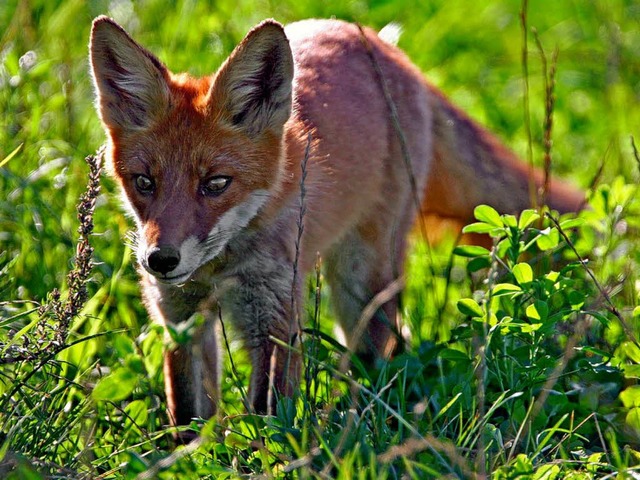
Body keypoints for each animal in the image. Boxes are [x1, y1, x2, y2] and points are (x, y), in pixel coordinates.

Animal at [90, 16, 584, 426]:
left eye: (215, 183)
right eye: (144, 182)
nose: (160, 260)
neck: (221, 267)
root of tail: (377, 42)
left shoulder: (274, 320)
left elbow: (268, 418)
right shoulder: (179, 316)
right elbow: (189, 416)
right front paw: (189, 457)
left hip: (360, 279)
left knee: (385, 348)